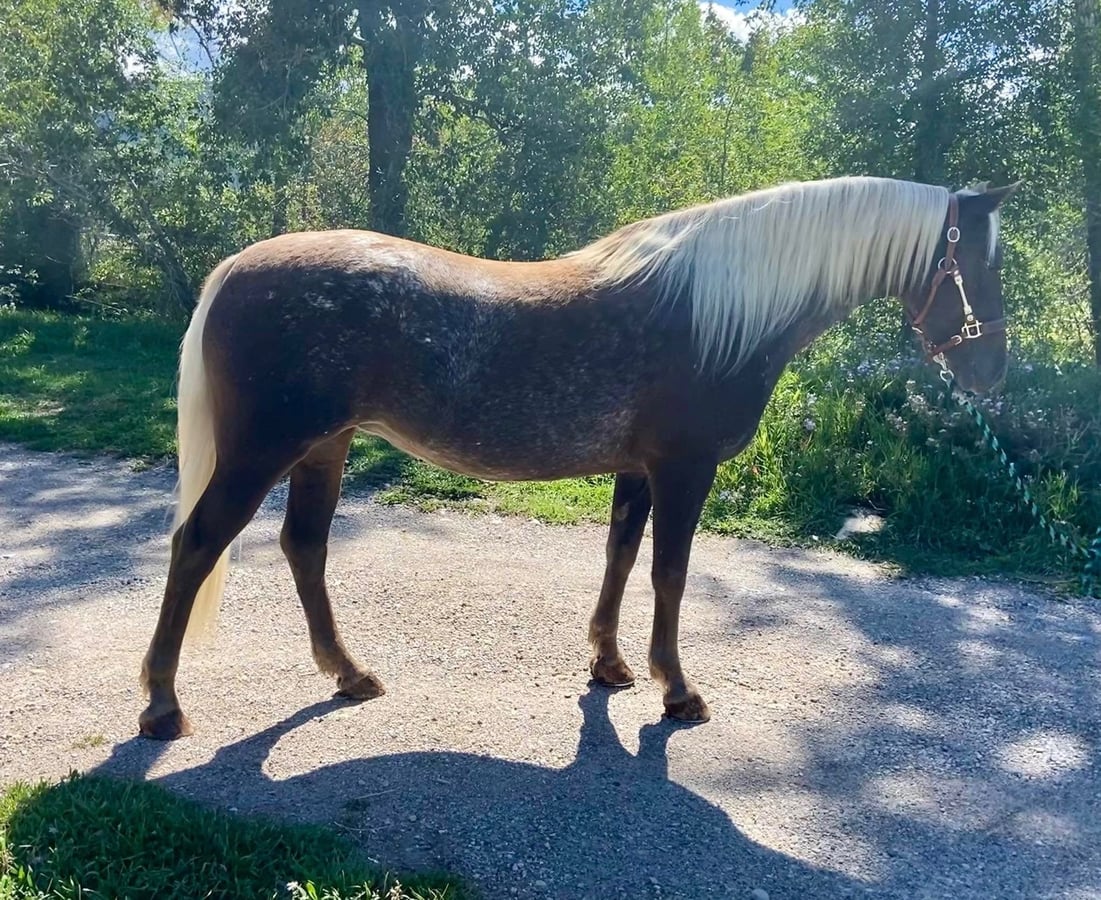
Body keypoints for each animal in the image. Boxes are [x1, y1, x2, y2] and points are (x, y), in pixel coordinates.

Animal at [138, 176, 1018, 740]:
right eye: (980, 262)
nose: (991, 373)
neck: (721, 309)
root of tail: (235, 269)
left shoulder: (638, 469)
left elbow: (620, 556)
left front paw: (609, 664)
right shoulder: (684, 468)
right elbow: (669, 573)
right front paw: (676, 691)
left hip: (324, 446)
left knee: (305, 547)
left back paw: (348, 675)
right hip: (263, 451)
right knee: (197, 546)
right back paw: (161, 707)